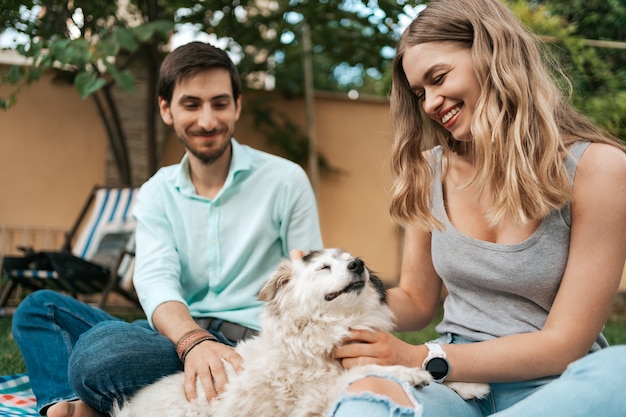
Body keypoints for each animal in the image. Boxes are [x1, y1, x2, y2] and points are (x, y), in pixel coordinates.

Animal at [113, 249, 488, 416]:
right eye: (324, 267)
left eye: (353, 260)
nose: (359, 265)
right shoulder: (310, 403)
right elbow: (365, 371)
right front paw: (410, 374)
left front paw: (469, 384)